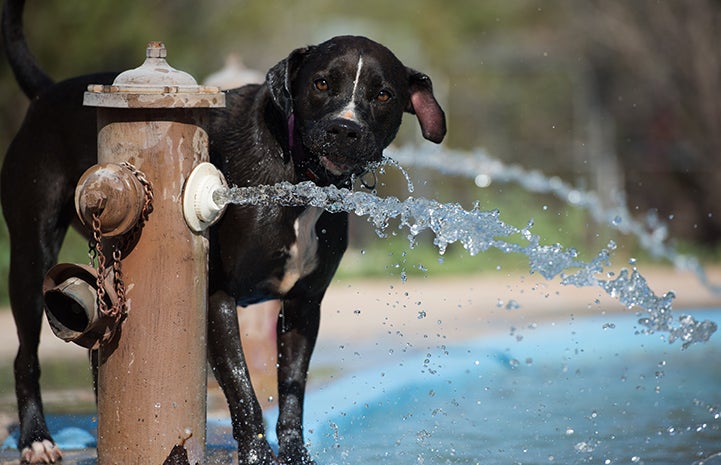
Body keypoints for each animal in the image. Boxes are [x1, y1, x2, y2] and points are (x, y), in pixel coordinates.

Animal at [2, 1, 444, 462]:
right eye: (322, 83)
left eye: (383, 94)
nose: (344, 129)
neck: (296, 173)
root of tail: (48, 92)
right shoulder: (217, 296)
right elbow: (240, 386)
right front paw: (257, 455)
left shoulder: (304, 305)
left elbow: (293, 391)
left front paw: (294, 453)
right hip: (32, 257)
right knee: (25, 356)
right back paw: (36, 438)